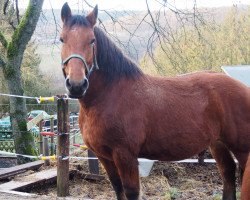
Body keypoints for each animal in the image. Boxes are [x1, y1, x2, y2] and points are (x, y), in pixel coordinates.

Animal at [59, 3, 250, 200]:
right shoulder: (104, 157)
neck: (108, 96)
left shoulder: (125, 155)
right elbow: (118, 189)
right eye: (62, 39)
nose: (76, 85)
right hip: (218, 143)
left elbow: (131, 192)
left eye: (91, 40)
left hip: (242, 149)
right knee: (228, 172)